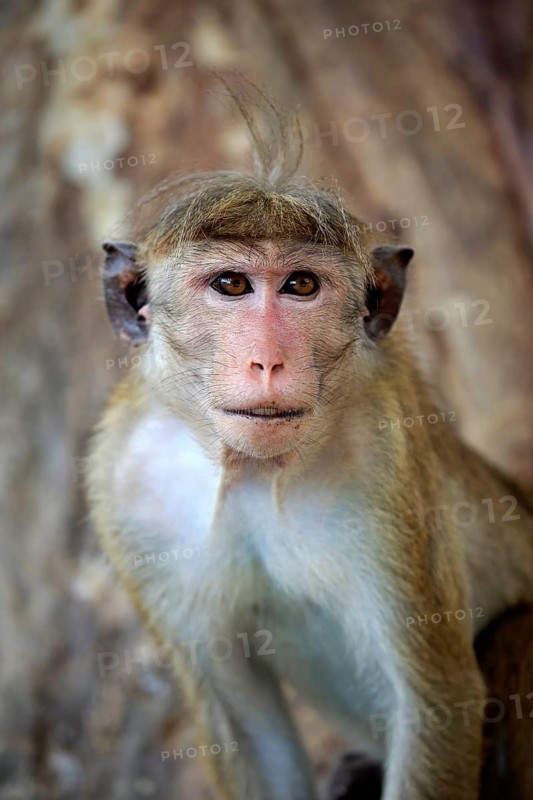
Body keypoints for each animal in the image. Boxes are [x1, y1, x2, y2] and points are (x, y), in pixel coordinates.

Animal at [86, 106, 533, 800]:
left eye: (300, 284)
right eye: (231, 283)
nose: (268, 360)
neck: (253, 469)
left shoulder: (387, 464)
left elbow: (435, 702)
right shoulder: (127, 486)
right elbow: (243, 724)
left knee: (514, 635)